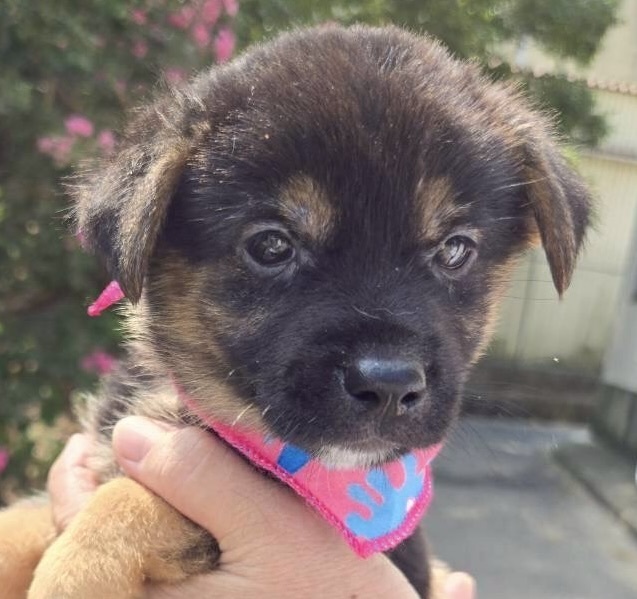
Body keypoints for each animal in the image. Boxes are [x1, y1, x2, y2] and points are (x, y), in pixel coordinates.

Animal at [0, 24, 591, 599]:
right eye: (271, 246)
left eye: (455, 250)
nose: (389, 386)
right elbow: (22, 520)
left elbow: (132, 501)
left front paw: (71, 575)